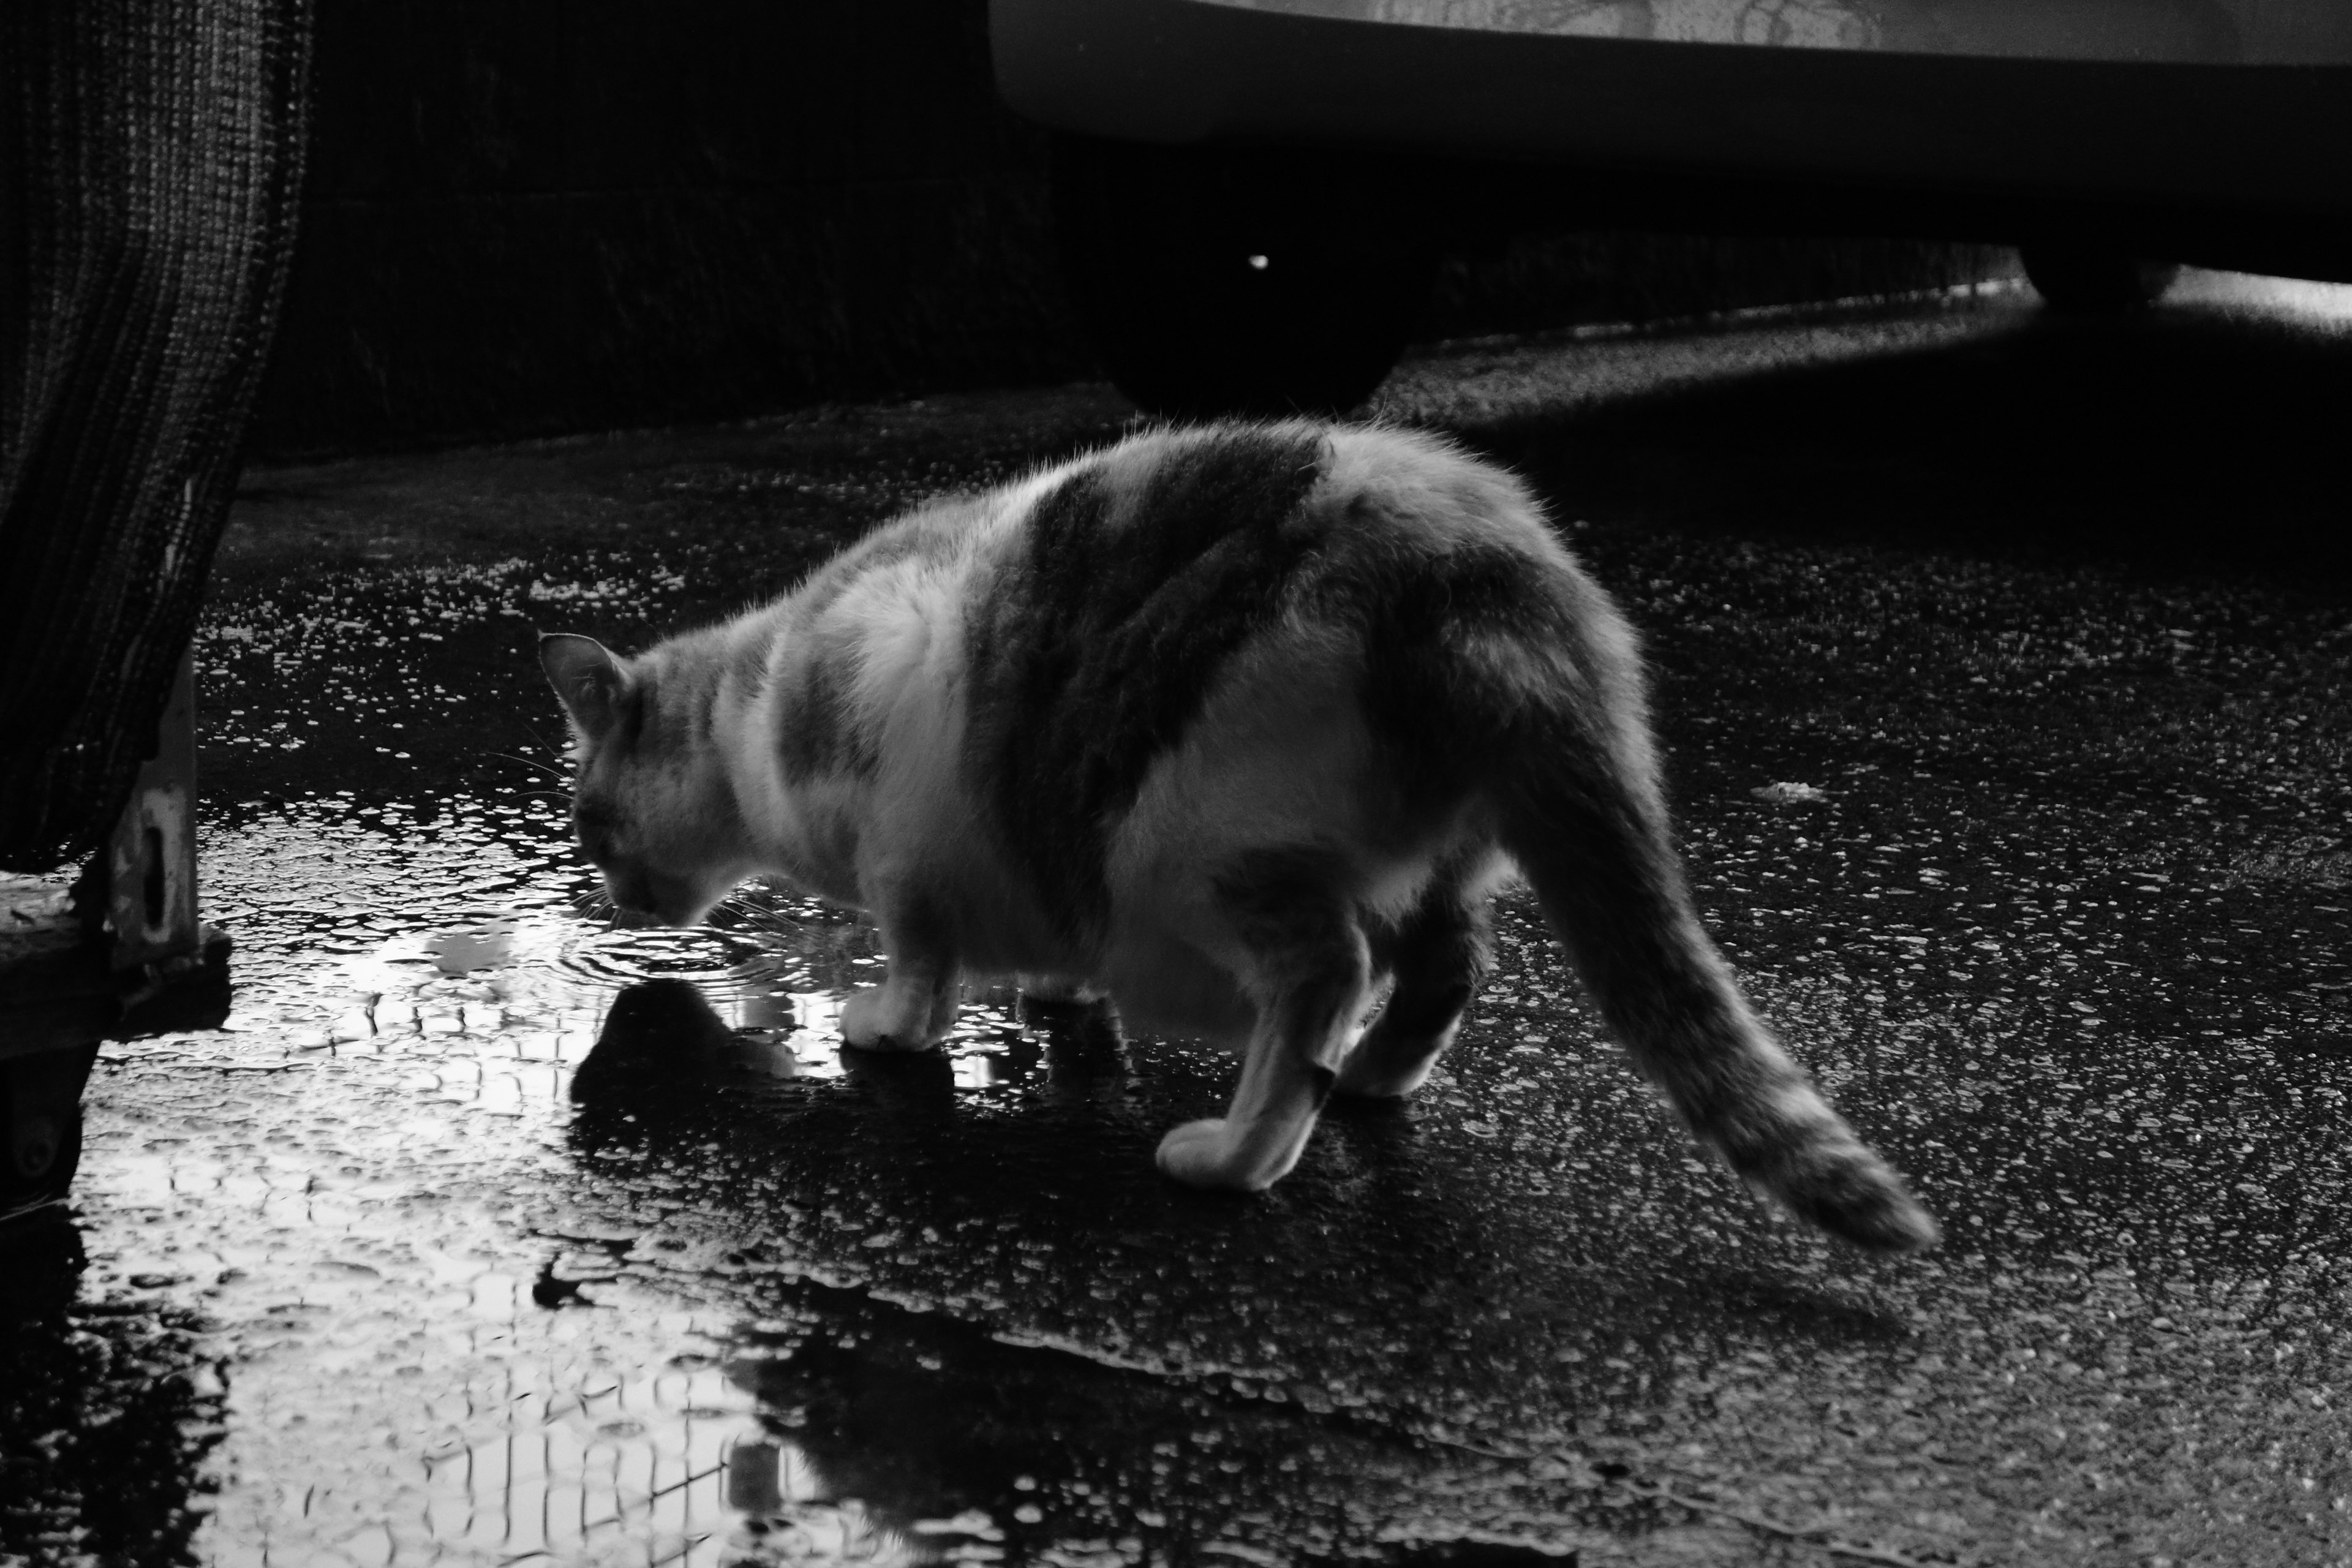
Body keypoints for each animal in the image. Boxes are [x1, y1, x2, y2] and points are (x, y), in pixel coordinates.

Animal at [541, 423, 1938, 1260]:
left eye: (590, 825)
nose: (610, 900)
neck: (757, 702)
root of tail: (1495, 565)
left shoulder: (903, 860)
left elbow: (920, 964)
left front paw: (886, 1030)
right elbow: (1042, 950)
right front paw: (1056, 995)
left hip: (1201, 845)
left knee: (1326, 976)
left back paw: (1237, 1153)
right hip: (1438, 857)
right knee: (1442, 970)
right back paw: (1374, 1079)